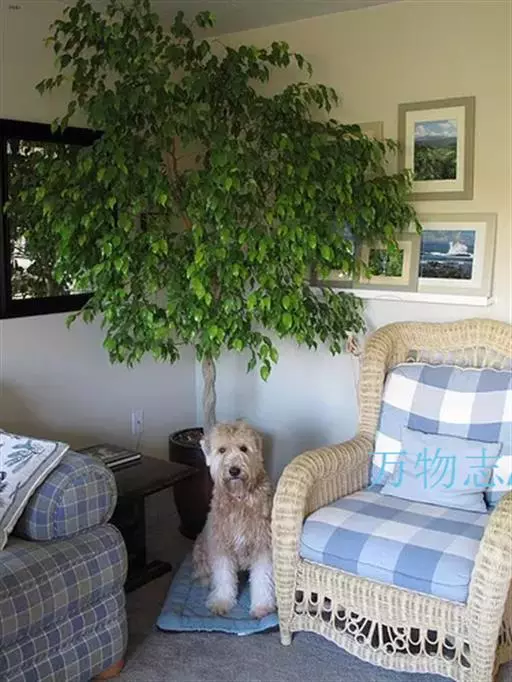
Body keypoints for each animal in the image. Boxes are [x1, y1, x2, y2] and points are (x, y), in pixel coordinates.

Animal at [192, 421, 276, 619]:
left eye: (244, 448)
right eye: (222, 450)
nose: (234, 470)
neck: (240, 498)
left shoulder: (263, 545)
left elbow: (263, 578)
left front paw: (262, 606)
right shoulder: (221, 545)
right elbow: (223, 576)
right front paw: (221, 602)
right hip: (201, 547)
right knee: (202, 572)